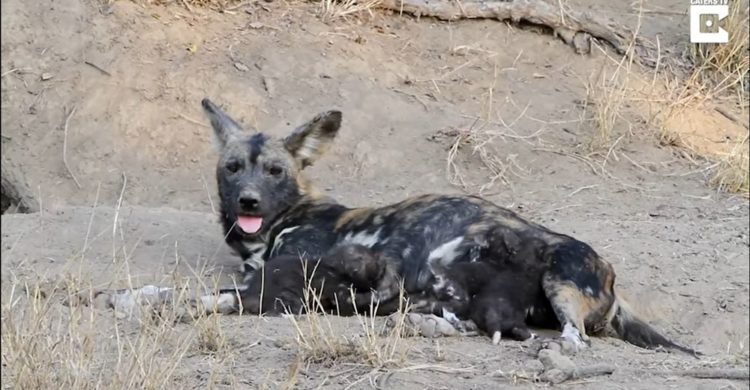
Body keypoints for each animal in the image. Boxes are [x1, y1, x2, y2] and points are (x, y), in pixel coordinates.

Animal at [129, 99, 700, 354]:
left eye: (273, 172)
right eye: (232, 168)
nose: (247, 199)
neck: (284, 219)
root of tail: (614, 284)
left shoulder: (282, 280)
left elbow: (199, 296)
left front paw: (146, 302)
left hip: (556, 281)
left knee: (573, 339)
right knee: (472, 321)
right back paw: (429, 323)